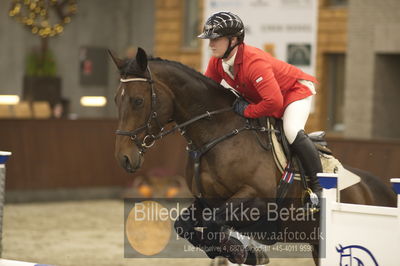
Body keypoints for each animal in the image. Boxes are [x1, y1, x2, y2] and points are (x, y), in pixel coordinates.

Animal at [110, 48, 396, 266]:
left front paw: (245, 252)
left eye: (137, 101)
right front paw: (240, 252)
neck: (216, 133)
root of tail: (378, 189)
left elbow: (213, 224)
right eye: (115, 100)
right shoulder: (206, 201)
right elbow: (185, 226)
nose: (123, 158)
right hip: (317, 246)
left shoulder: (257, 198)